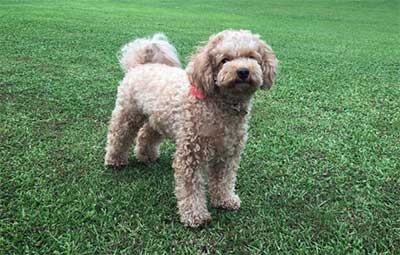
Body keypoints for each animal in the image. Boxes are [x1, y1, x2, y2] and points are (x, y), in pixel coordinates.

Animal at [104, 29, 276, 227]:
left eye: (252, 57)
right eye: (224, 60)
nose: (243, 71)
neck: (220, 105)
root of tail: (142, 65)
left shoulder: (228, 152)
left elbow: (224, 179)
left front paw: (225, 200)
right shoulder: (191, 153)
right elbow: (191, 187)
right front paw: (195, 215)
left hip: (158, 118)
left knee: (146, 134)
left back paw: (146, 156)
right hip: (128, 113)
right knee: (119, 135)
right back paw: (115, 160)